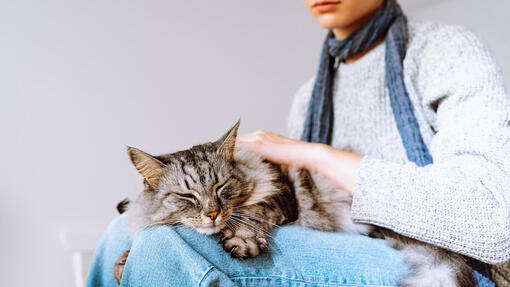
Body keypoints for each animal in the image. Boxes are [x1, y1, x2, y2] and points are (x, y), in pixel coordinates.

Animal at [113, 122, 476, 287]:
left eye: (220, 186)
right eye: (187, 196)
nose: (212, 214)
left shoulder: (280, 190)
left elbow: (253, 214)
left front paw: (241, 239)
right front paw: (122, 262)